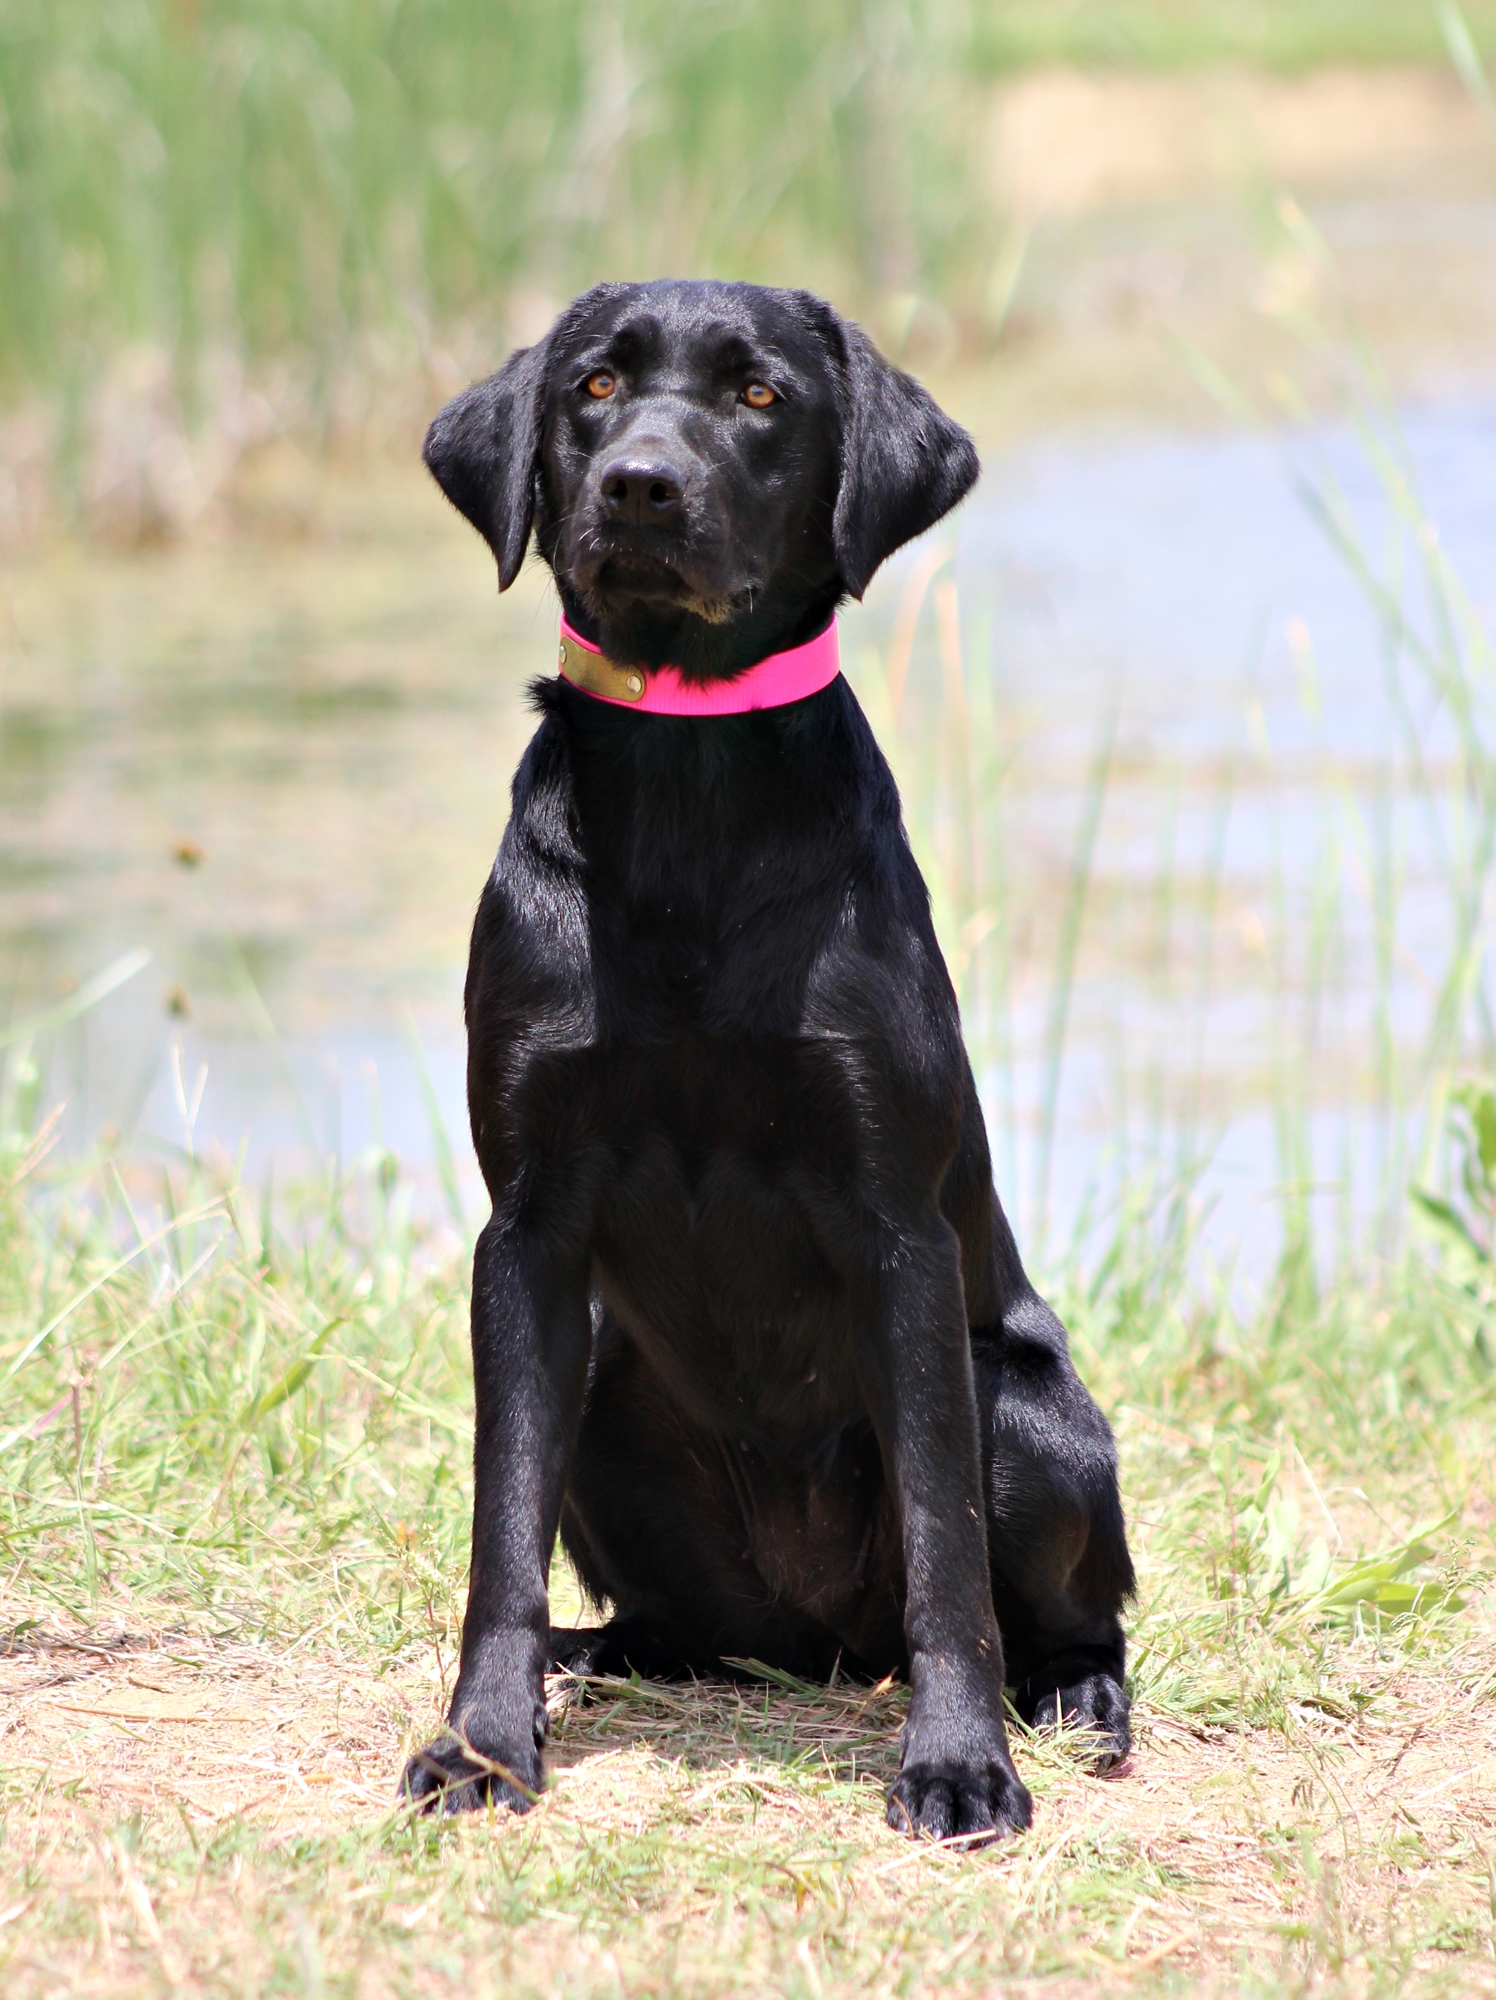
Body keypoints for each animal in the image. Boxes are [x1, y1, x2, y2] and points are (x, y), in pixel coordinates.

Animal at [400, 282, 1136, 1840]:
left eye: (759, 398)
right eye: (594, 387)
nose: (640, 485)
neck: (691, 783)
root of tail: (811, 1646)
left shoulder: (897, 1229)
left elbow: (944, 1551)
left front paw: (957, 1765)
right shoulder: (527, 1233)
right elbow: (499, 1530)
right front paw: (482, 1744)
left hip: (1026, 1412)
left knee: (1062, 1609)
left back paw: (1074, 1700)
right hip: (608, 1389)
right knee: (654, 1611)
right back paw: (589, 1661)